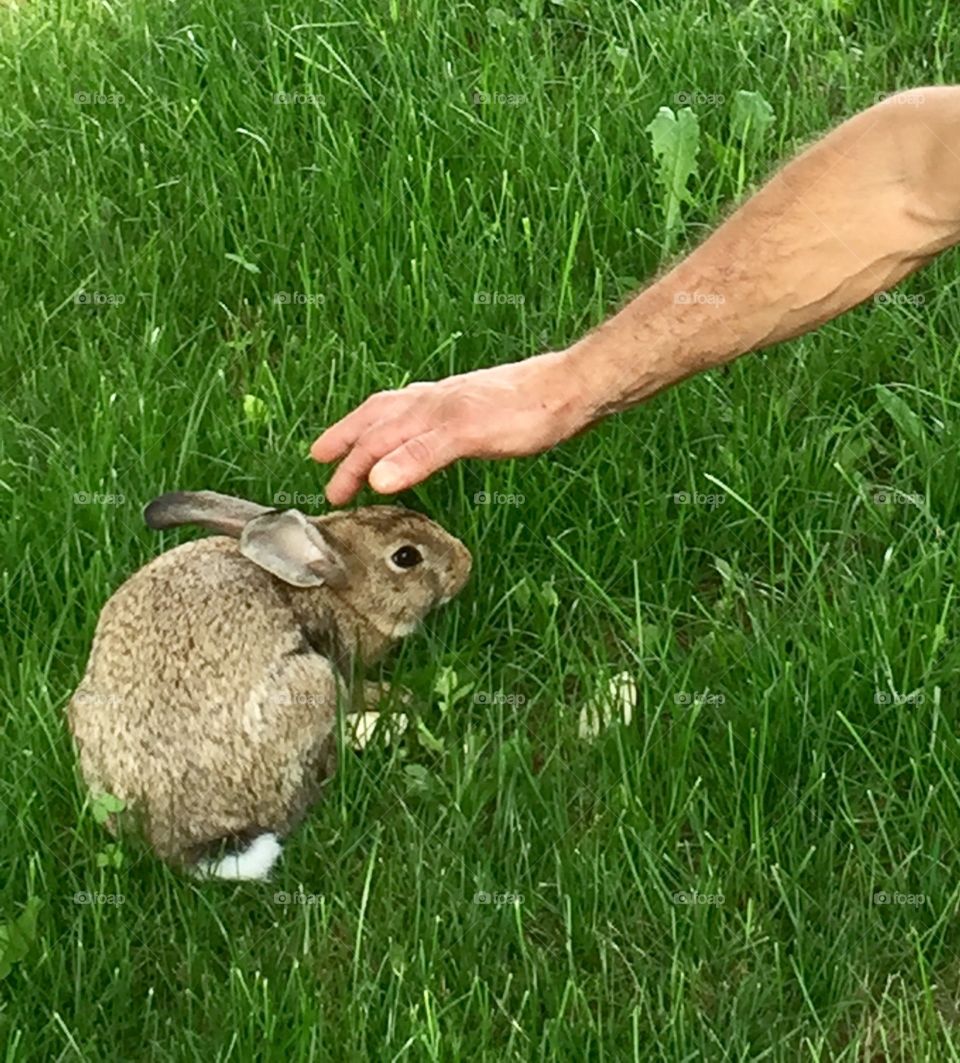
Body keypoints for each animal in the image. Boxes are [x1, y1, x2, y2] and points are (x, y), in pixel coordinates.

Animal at [67, 490, 472, 880]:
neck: (329, 590)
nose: (464, 563)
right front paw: (399, 697)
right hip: (314, 683)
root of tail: (183, 835)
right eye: (406, 556)